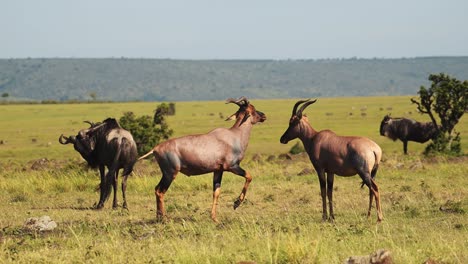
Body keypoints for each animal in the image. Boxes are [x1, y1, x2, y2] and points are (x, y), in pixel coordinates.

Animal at [137, 96, 266, 222]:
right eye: (253, 109)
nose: (264, 115)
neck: (234, 135)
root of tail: (155, 148)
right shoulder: (232, 167)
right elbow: (249, 176)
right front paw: (236, 203)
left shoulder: (218, 170)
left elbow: (216, 192)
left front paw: (214, 218)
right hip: (170, 173)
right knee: (160, 191)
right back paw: (163, 219)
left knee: (157, 189)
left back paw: (159, 218)